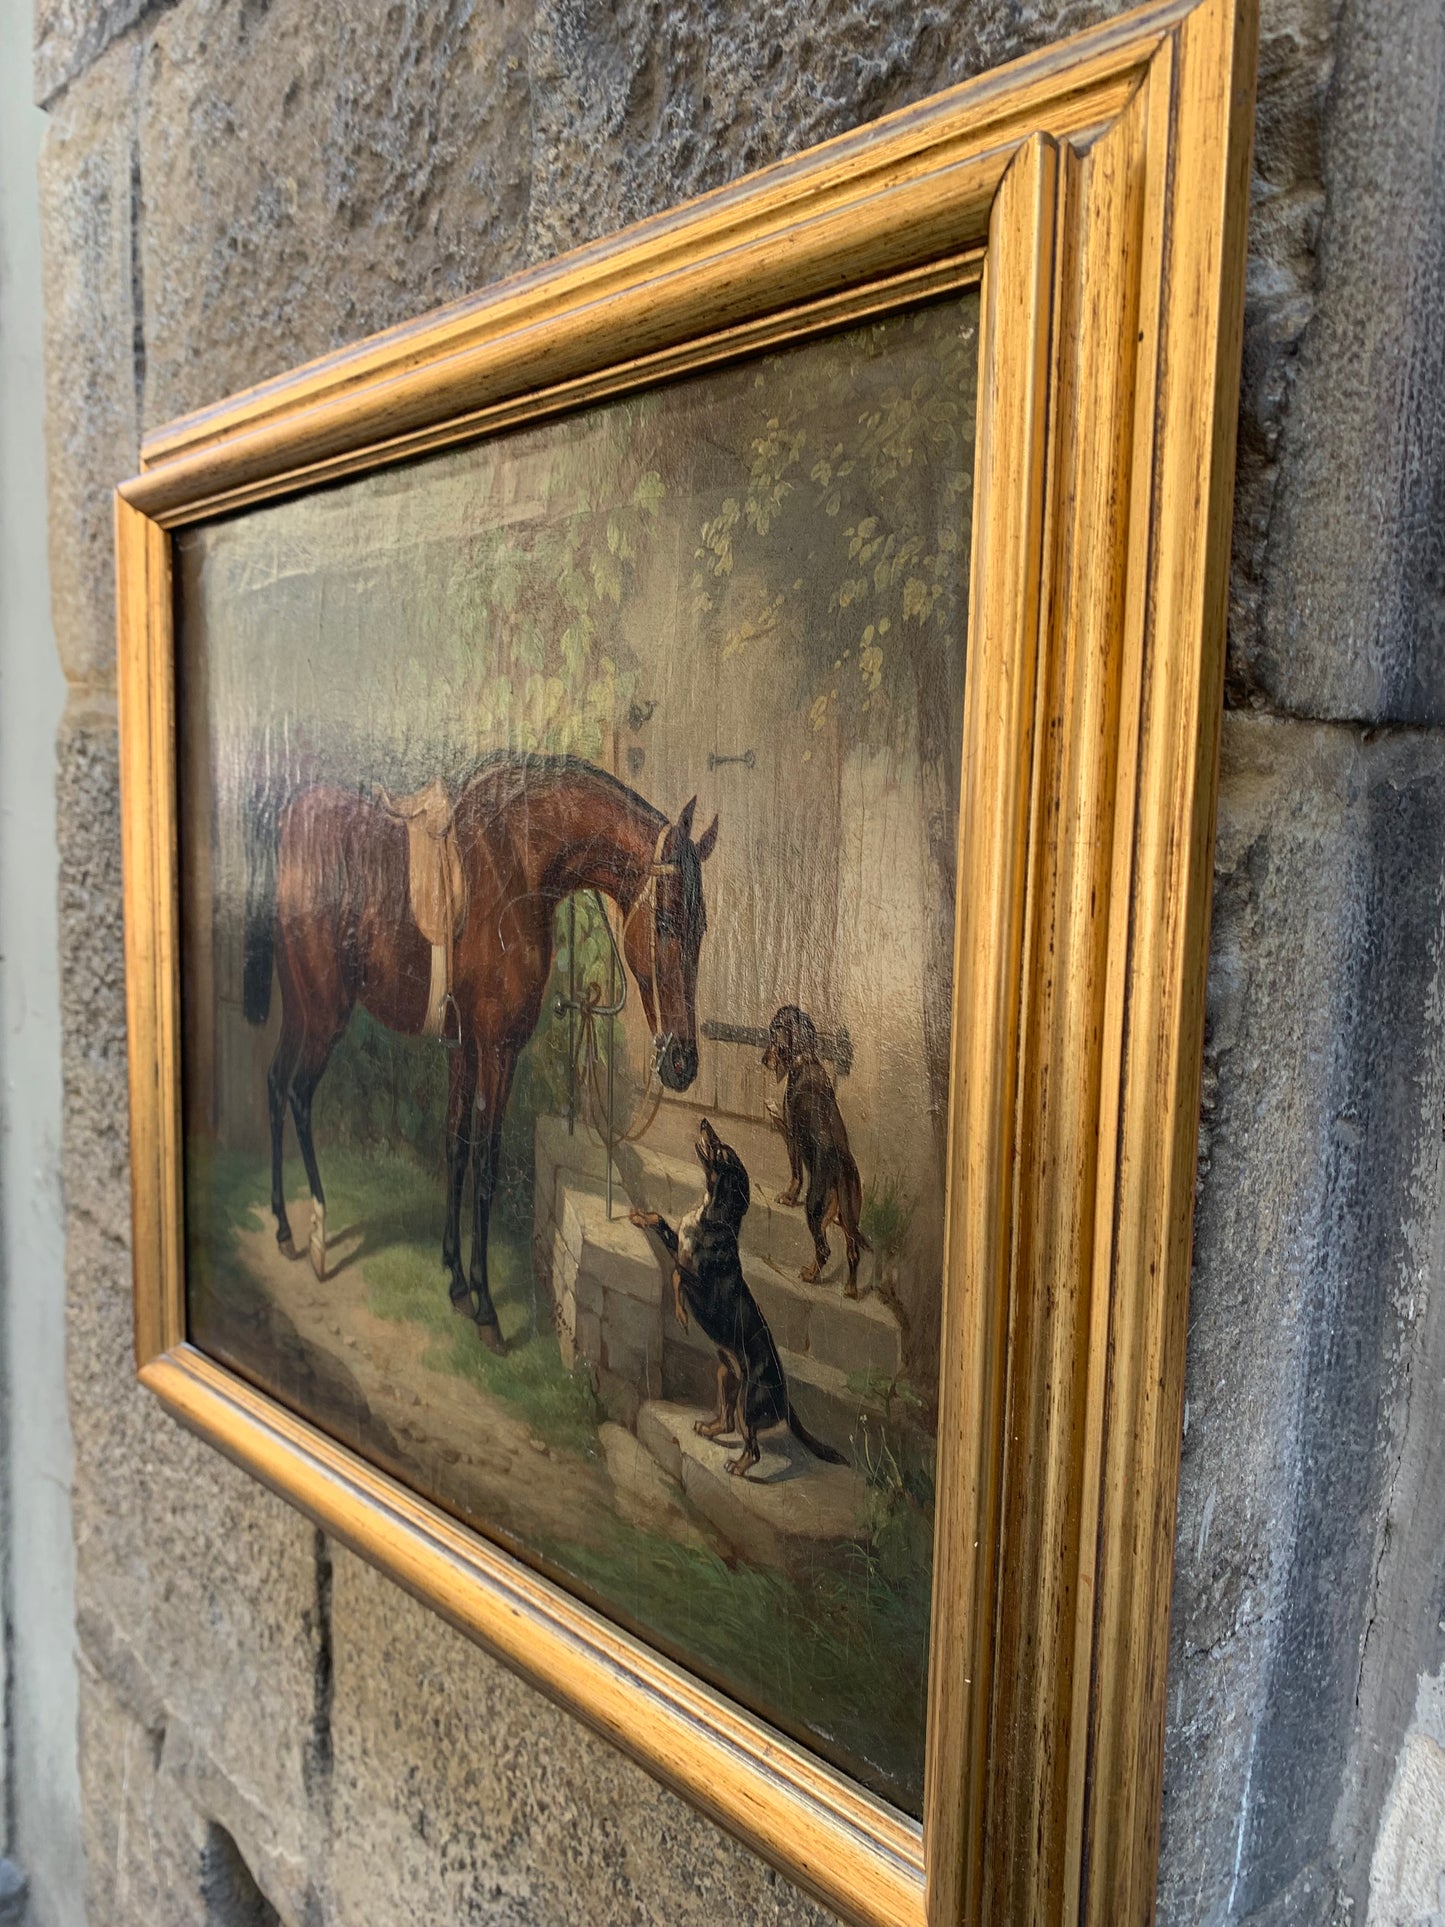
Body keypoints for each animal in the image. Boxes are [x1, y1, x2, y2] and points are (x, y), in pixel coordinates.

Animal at [243, 743, 720, 1348]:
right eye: (665, 921)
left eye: (701, 928)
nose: (683, 1061)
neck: (517, 865)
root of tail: (289, 827)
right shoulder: (498, 1050)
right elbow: (488, 1164)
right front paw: (486, 1306)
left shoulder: (463, 1049)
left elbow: (455, 1144)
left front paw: (454, 1278)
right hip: (326, 1015)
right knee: (301, 1097)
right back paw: (318, 1236)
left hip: (302, 1009)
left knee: (274, 1086)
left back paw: (284, 1226)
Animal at [628, 1117, 843, 1472]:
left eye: (721, 1150)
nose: (704, 1122)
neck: (714, 1220)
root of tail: (786, 1397)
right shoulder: (678, 1245)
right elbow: (659, 1220)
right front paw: (637, 1216)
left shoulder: (698, 1282)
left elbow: (676, 1275)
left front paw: (681, 1316)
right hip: (725, 1375)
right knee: (727, 1421)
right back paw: (707, 1428)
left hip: (749, 1404)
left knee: (752, 1447)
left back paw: (738, 1467)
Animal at [770, 1002, 870, 1302]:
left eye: (772, 1033)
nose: (765, 1060)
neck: (806, 1060)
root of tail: (842, 1168)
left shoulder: (792, 1135)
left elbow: (795, 1174)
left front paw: (788, 1197)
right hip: (848, 1215)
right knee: (852, 1251)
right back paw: (850, 1290)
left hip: (815, 1208)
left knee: (825, 1249)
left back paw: (810, 1275)